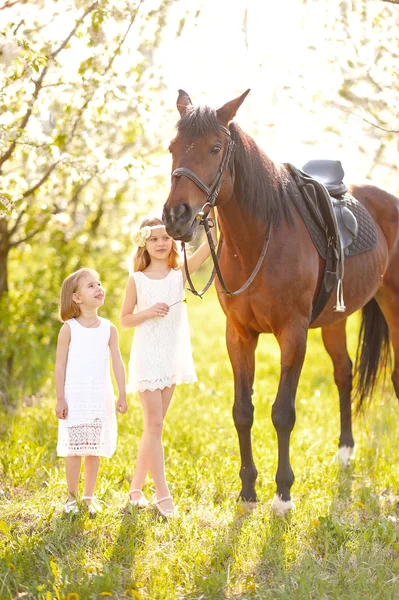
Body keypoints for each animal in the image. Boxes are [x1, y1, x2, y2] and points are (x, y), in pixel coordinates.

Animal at [161, 89, 398, 516]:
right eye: (173, 147)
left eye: (215, 147)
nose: (176, 216)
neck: (259, 240)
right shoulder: (239, 335)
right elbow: (243, 412)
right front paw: (247, 492)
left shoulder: (293, 333)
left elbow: (283, 413)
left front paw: (283, 494)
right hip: (335, 320)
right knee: (344, 372)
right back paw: (345, 451)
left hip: (393, 301)